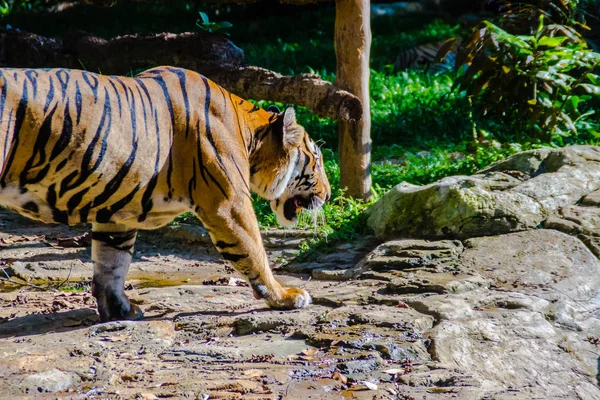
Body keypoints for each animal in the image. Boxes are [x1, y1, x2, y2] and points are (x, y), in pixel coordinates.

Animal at [0, 65, 330, 322]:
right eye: (316, 158)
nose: (327, 195)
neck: (249, 134)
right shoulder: (229, 204)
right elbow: (255, 251)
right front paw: (285, 296)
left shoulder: (116, 212)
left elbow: (112, 262)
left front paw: (120, 310)